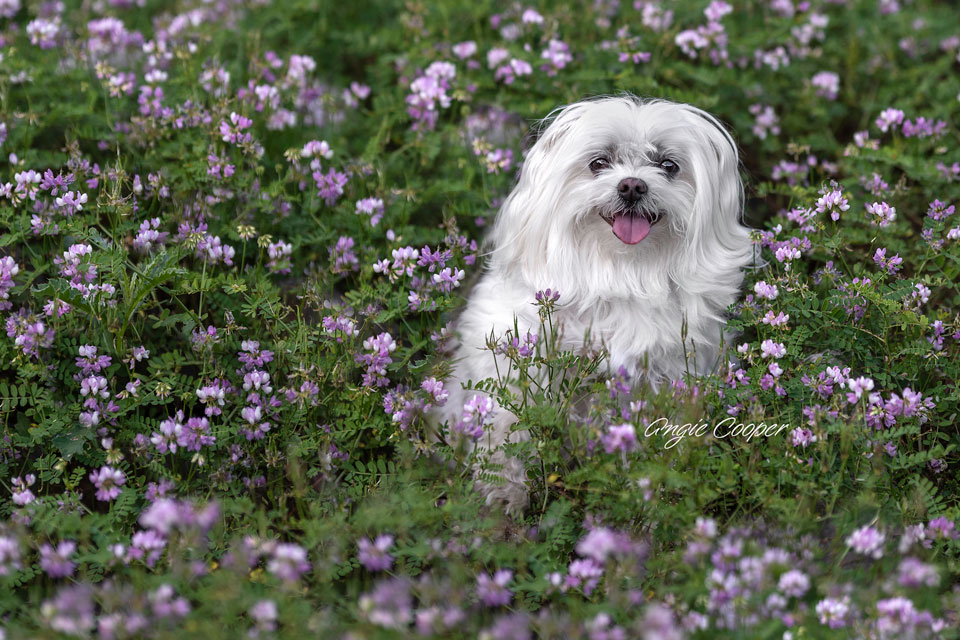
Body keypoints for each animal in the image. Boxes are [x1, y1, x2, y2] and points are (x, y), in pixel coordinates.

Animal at [436, 96, 756, 516]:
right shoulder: (512, 356)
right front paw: (503, 487)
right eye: (599, 162)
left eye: (668, 165)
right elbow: (507, 423)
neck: (621, 273)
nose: (633, 185)